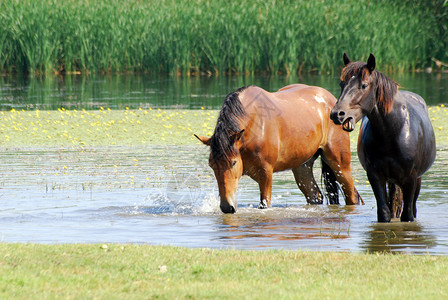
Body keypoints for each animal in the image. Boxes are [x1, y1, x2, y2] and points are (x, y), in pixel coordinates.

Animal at [195, 83, 360, 212]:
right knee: (315, 196)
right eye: (211, 165)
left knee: (352, 196)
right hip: (302, 166)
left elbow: (264, 205)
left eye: (233, 162)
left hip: (339, 163)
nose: (226, 207)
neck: (253, 124)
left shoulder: (266, 173)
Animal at [330, 54, 436, 223]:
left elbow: (408, 215)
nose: (337, 114)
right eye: (342, 83)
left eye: (364, 85)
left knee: (412, 208)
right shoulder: (375, 176)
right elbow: (384, 212)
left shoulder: (411, 179)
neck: (393, 132)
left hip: (416, 180)